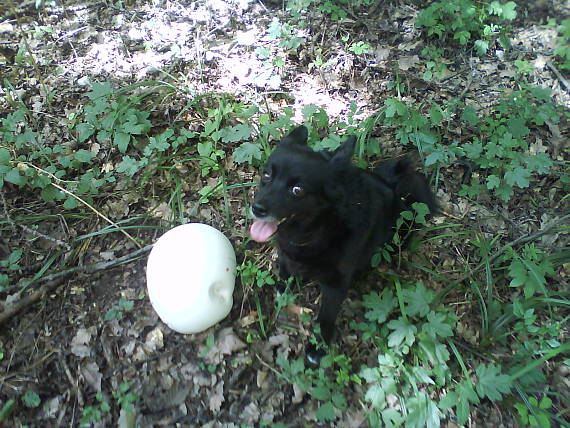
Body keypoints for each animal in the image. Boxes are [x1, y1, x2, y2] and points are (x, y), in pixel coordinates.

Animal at [247, 125, 434, 362]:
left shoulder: (335, 284)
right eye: (267, 175)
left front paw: (318, 347)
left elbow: (326, 316)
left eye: (297, 190)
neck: (320, 230)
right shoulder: (286, 254)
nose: (257, 208)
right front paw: (284, 287)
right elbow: (285, 269)